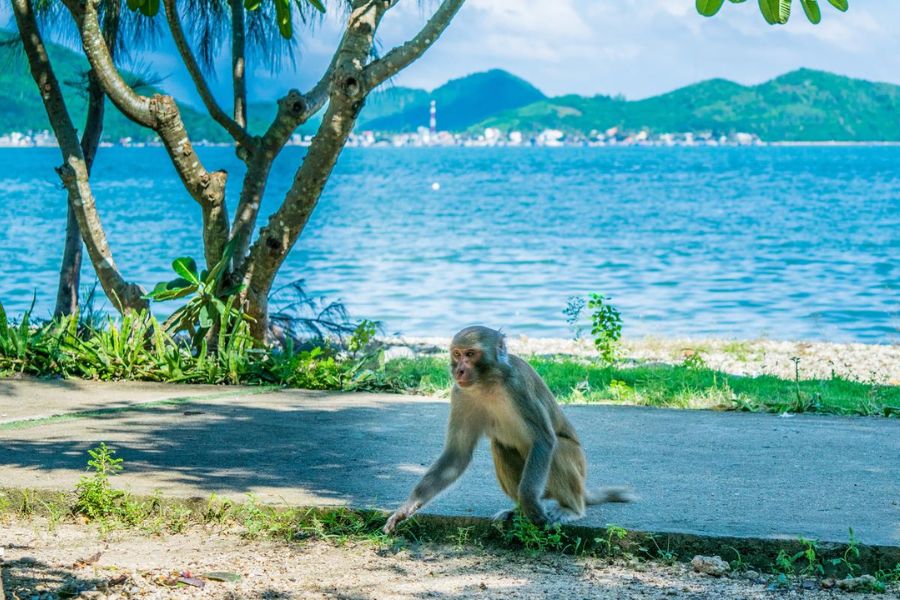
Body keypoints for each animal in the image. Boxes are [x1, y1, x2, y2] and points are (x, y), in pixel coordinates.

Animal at [383, 325, 632, 533]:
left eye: (470, 354)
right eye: (457, 354)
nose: (459, 370)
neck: (487, 382)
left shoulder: (517, 386)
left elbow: (543, 440)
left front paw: (530, 503)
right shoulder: (460, 394)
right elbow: (456, 455)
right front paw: (406, 508)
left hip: (576, 466)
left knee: (558, 448)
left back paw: (570, 508)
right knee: (501, 447)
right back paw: (518, 511)